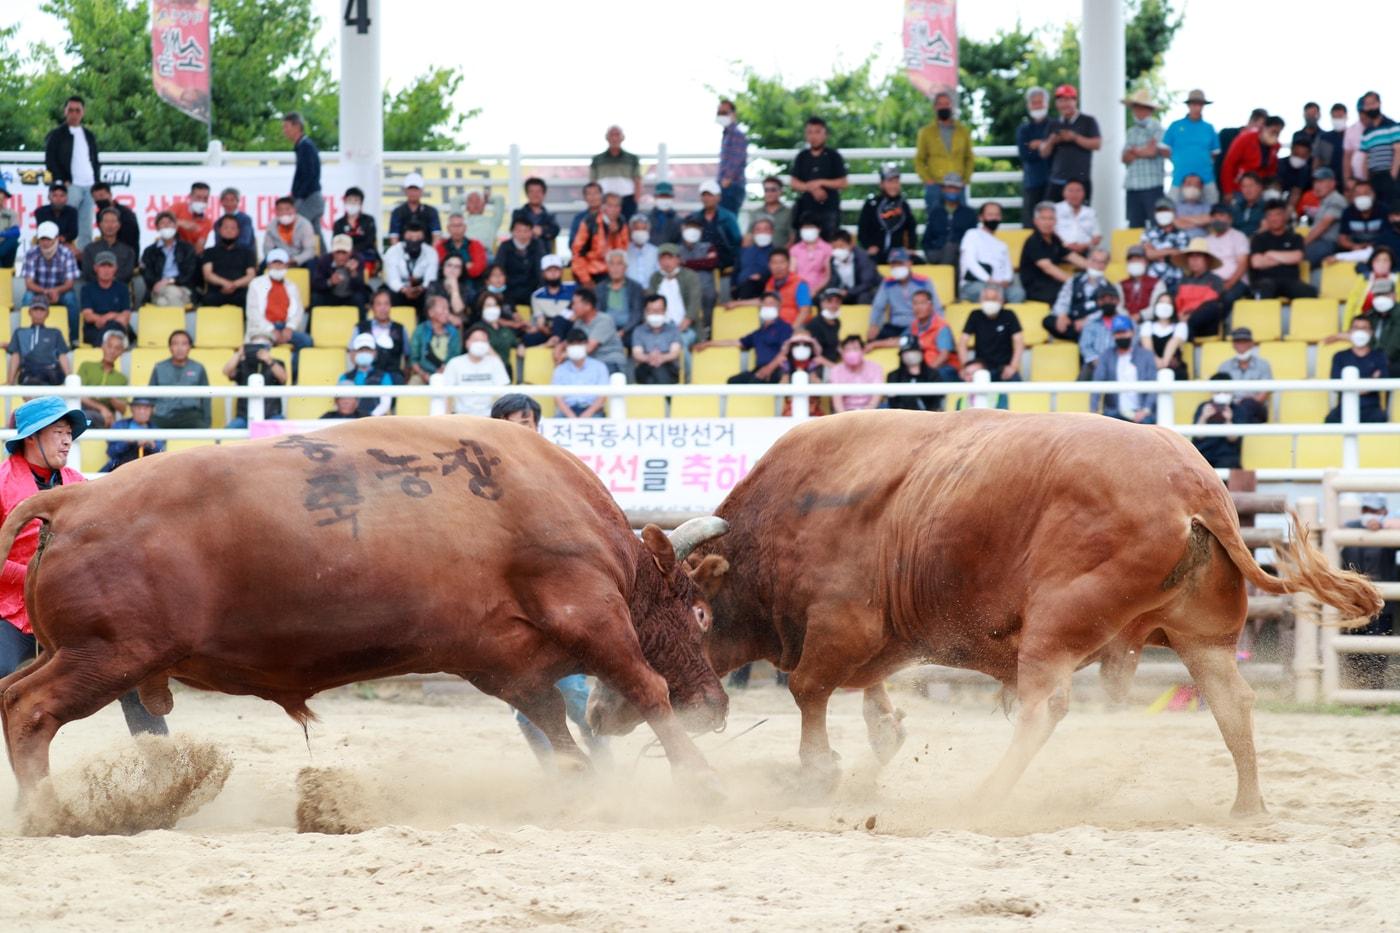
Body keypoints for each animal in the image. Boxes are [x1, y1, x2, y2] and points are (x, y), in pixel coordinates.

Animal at [2, 417, 733, 795]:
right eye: (700, 614)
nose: (717, 706)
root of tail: (72, 499)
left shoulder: (502, 660)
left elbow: (553, 719)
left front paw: (581, 783)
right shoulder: (590, 612)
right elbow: (647, 686)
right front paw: (701, 778)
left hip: (84, 653)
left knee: (13, 693)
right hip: (108, 655)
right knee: (30, 709)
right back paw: (47, 809)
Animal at [588, 411, 1377, 812]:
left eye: (688, 616)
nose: (597, 709)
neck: (788, 516)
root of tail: (1195, 485)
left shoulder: (843, 623)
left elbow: (810, 689)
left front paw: (818, 770)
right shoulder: (881, 639)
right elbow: (871, 701)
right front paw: (875, 747)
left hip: (1058, 624)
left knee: (1042, 707)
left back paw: (986, 794)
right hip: (1201, 634)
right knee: (1232, 703)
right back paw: (1248, 804)